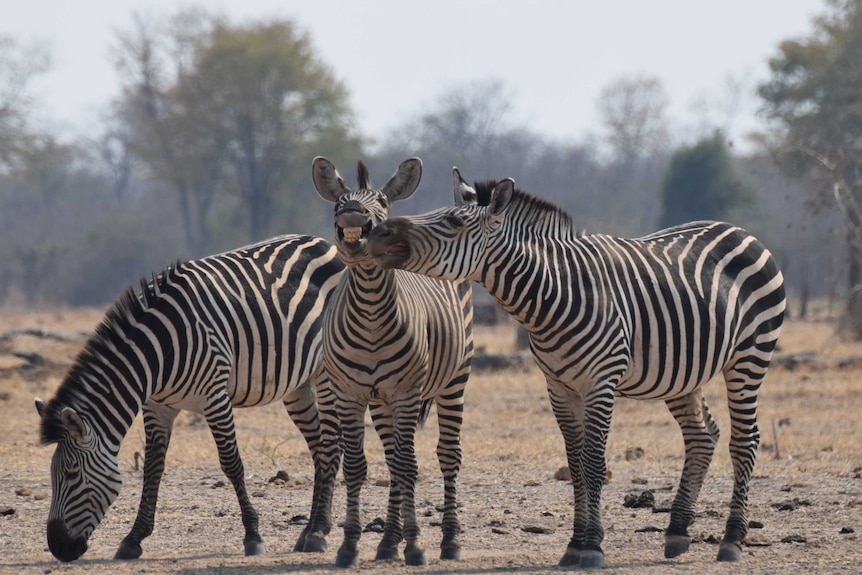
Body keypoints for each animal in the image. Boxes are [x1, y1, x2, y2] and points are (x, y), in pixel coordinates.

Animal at [34, 234, 344, 564]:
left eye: (71, 474)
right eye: (53, 475)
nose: (58, 547)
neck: (158, 354)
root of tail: (323, 242)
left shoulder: (214, 397)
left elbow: (231, 464)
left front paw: (253, 536)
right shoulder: (157, 406)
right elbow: (152, 469)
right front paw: (133, 539)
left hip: (325, 372)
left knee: (329, 447)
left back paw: (318, 533)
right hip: (298, 384)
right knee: (319, 449)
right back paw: (310, 531)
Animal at [310, 156, 476, 568]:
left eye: (382, 202)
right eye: (338, 203)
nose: (352, 214)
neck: (370, 312)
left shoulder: (406, 393)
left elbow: (408, 467)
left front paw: (415, 546)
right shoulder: (349, 394)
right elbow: (359, 467)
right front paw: (350, 545)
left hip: (455, 380)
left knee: (447, 456)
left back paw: (449, 540)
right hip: (380, 401)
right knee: (390, 458)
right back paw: (387, 543)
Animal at [368, 169, 788, 568]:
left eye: (454, 221)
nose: (377, 232)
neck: (556, 295)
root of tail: (740, 231)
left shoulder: (601, 383)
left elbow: (594, 463)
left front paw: (594, 547)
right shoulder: (559, 386)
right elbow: (575, 463)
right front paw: (574, 545)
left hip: (751, 355)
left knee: (745, 440)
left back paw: (731, 540)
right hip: (683, 372)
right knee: (702, 436)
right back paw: (677, 532)